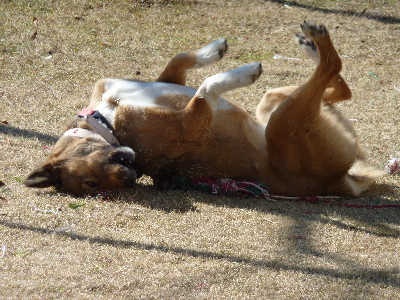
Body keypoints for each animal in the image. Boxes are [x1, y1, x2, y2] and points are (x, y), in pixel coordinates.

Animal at [25, 22, 384, 198]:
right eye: (91, 184)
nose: (131, 179)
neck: (108, 121)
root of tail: (339, 183)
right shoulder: (192, 122)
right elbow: (207, 87)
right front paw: (243, 72)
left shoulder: (164, 82)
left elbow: (180, 60)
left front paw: (214, 51)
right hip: (286, 121)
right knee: (333, 68)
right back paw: (316, 44)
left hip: (272, 104)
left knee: (340, 86)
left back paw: (311, 46)